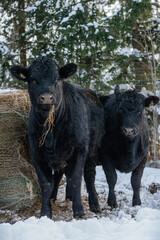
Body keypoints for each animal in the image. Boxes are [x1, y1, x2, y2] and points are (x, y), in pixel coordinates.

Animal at [10, 57, 103, 218]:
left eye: (57, 78)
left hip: (92, 150)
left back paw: (94, 204)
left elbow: (75, 179)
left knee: (89, 176)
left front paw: (79, 211)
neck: (51, 132)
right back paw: (57, 197)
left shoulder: (79, 149)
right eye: (32, 79)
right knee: (58, 175)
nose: (47, 97)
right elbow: (46, 183)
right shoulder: (36, 153)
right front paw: (46, 212)